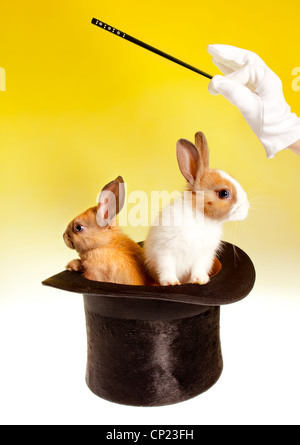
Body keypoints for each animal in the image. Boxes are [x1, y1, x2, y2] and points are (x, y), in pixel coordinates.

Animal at [143, 131, 248, 284]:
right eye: (224, 193)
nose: (246, 208)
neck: (201, 216)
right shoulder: (164, 251)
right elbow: (166, 267)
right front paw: (171, 282)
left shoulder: (203, 256)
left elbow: (198, 268)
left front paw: (200, 280)